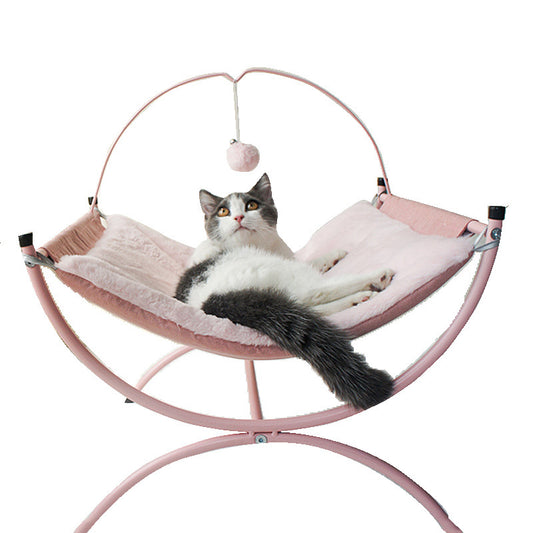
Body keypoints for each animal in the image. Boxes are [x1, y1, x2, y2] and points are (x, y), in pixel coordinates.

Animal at [172, 174, 392, 408]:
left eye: (251, 205)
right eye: (223, 211)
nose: (239, 217)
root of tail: (209, 301)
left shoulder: (289, 259)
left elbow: (312, 262)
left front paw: (334, 255)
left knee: (304, 305)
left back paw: (358, 299)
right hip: (271, 270)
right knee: (316, 292)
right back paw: (375, 279)